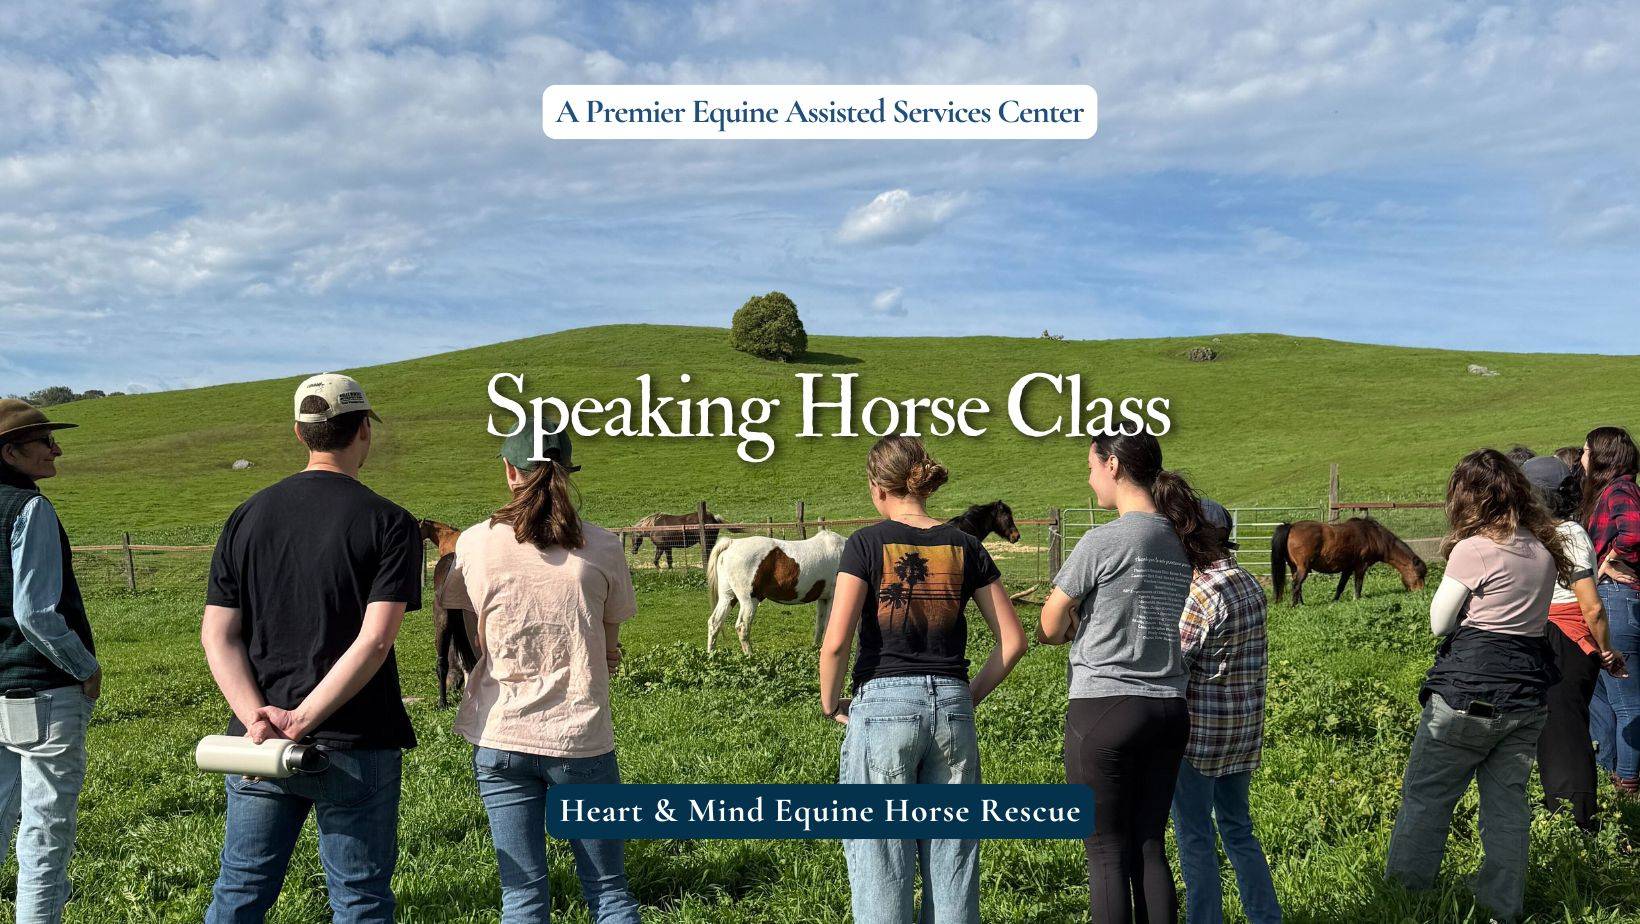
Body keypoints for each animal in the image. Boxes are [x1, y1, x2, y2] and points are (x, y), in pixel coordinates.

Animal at [705, 530, 846, 655]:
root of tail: (732, 543)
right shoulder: (832, 598)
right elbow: (829, 625)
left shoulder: (823, 599)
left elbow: (820, 625)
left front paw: (816, 648)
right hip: (749, 601)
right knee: (742, 627)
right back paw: (750, 655)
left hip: (728, 598)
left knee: (715, 623)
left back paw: (711, 654)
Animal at [1271, 518, 1428, 605]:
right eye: (1419, 575)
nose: (1421, 592)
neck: (1373, 536)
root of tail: (1291, 526)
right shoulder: (1361, 566)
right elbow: (1358, 585)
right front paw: (1356, 599)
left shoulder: (1347, 568)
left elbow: (1340, 586)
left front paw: (1334, 601)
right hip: (1303, 568)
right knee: (1296, 585)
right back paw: (1294, 606)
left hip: (1294, 567)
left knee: (1297, 585)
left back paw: (1301, 604)